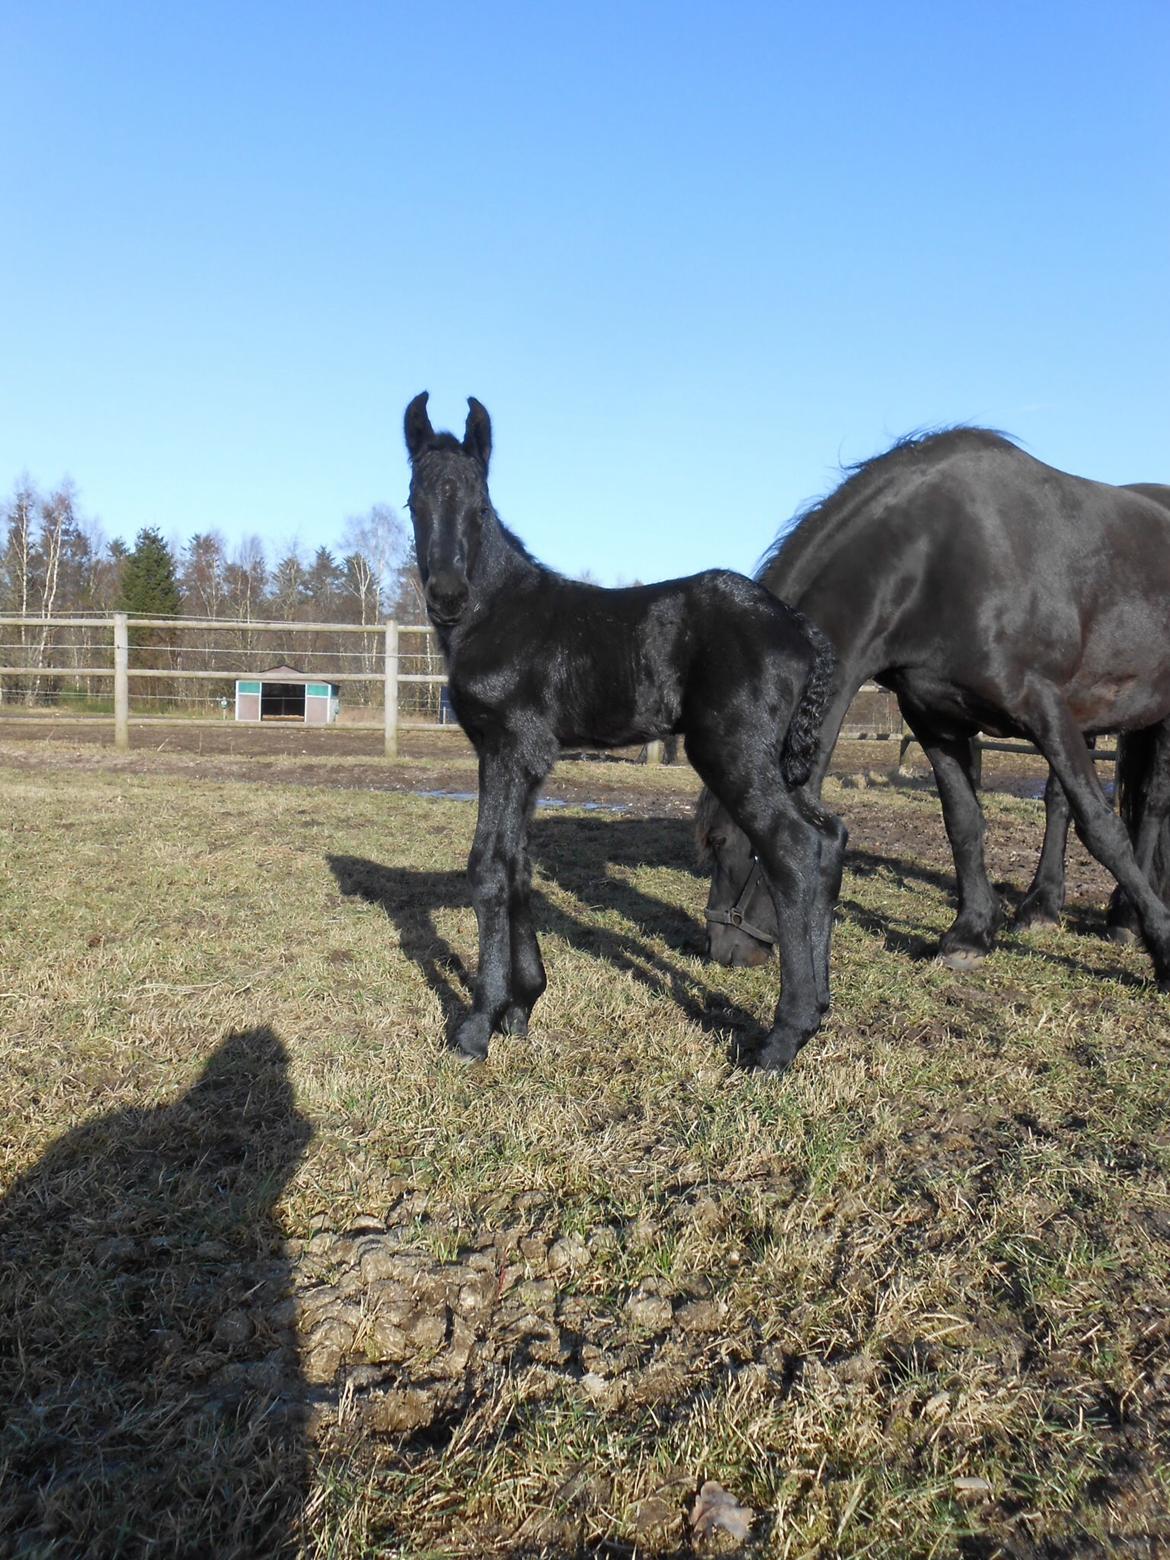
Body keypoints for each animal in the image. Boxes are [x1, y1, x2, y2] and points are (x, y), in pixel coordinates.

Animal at [408, 390, 848, 1073]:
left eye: (480, 507)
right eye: (414, 502)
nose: (448, 595)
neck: (495, 613)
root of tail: (799, 628)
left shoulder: (512, 747)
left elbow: (488, 866)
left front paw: (477, 1026)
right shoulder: (521, 757)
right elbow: (517, 862)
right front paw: (522, 1003)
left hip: (731, 750)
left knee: (794, 848)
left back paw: (781, 1040)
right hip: (781, 760)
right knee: (828, 839)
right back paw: (817, 1013)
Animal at [702, 427, 1170, 985]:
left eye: (723, 841)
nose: (724, 952)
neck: (934, 563)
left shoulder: (1043, 706)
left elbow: (1102, 828)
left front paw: (1164, 945)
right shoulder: (934, 719)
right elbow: (963, 821)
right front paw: (969, 934)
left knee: (1152, 806)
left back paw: (1125, 918)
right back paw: (1050, 907)